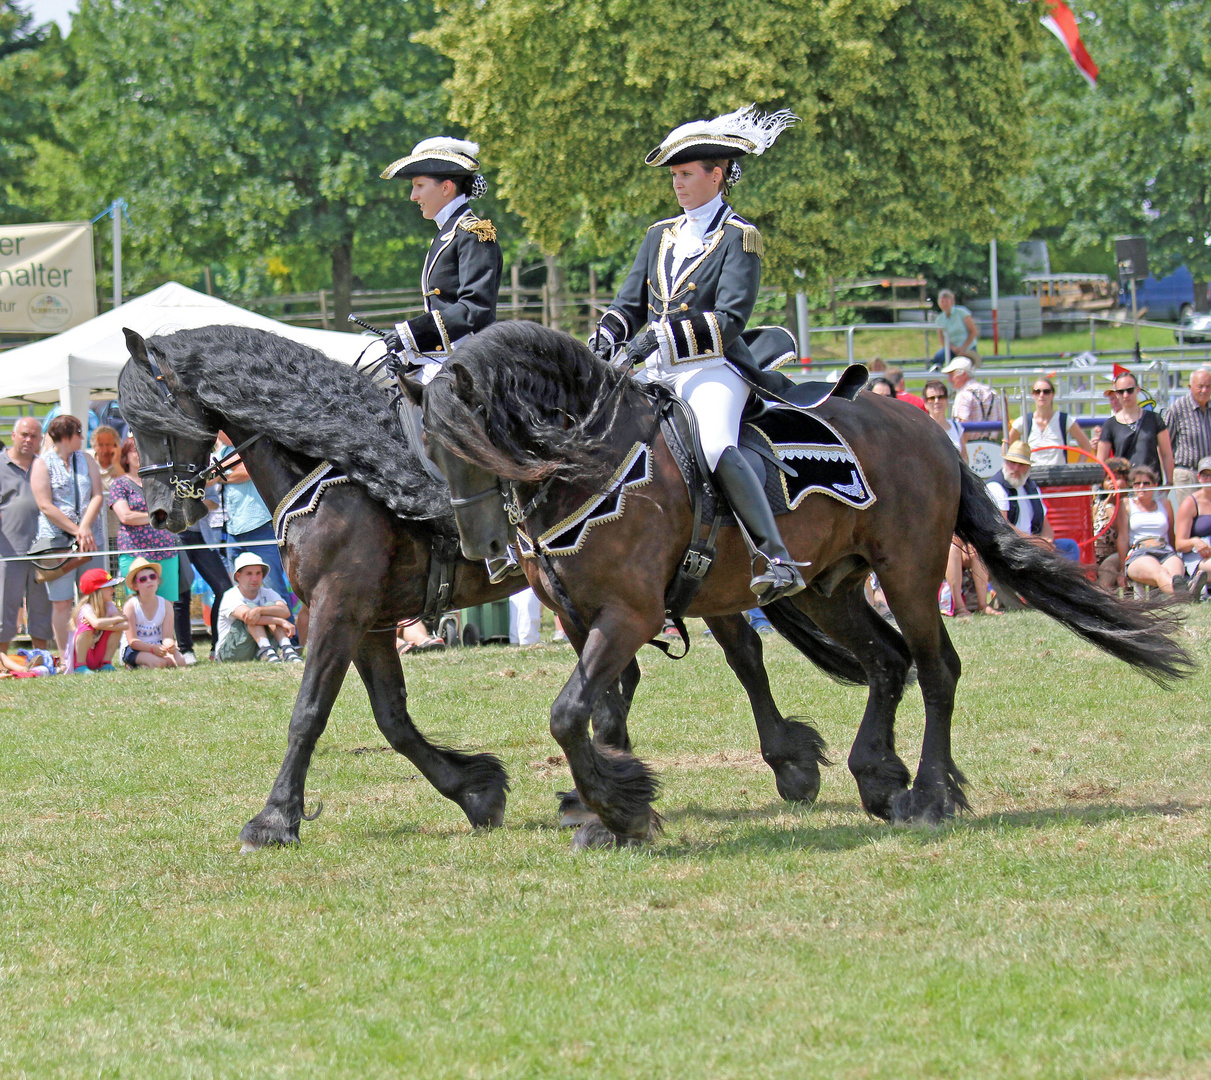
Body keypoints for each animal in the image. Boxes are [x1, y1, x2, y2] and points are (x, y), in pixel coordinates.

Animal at [113, 324, 852, 847]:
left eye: (149, 416)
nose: (162, 513)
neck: (340, 461)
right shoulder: (368, 619)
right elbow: (392, 720)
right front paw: (474, 788)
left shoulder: (338, 607)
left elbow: (309, 713)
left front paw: (273, 819)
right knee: (652, 674)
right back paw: (602, 791)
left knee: (743, 656)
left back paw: (785, 764)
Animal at [414, 319, 1191, 852]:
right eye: (428, 446)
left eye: (470, 441)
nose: (482, 547)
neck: (599, 462)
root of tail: (927, 430)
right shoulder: (585, 619)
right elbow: (595, 714)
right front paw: (613, 811)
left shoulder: (629, 615)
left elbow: (569, 713)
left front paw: (617, 808)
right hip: (830, 588)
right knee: (888, 661)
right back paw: (877, 775)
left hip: (908, 573)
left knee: (937, 667)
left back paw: (929, 795)